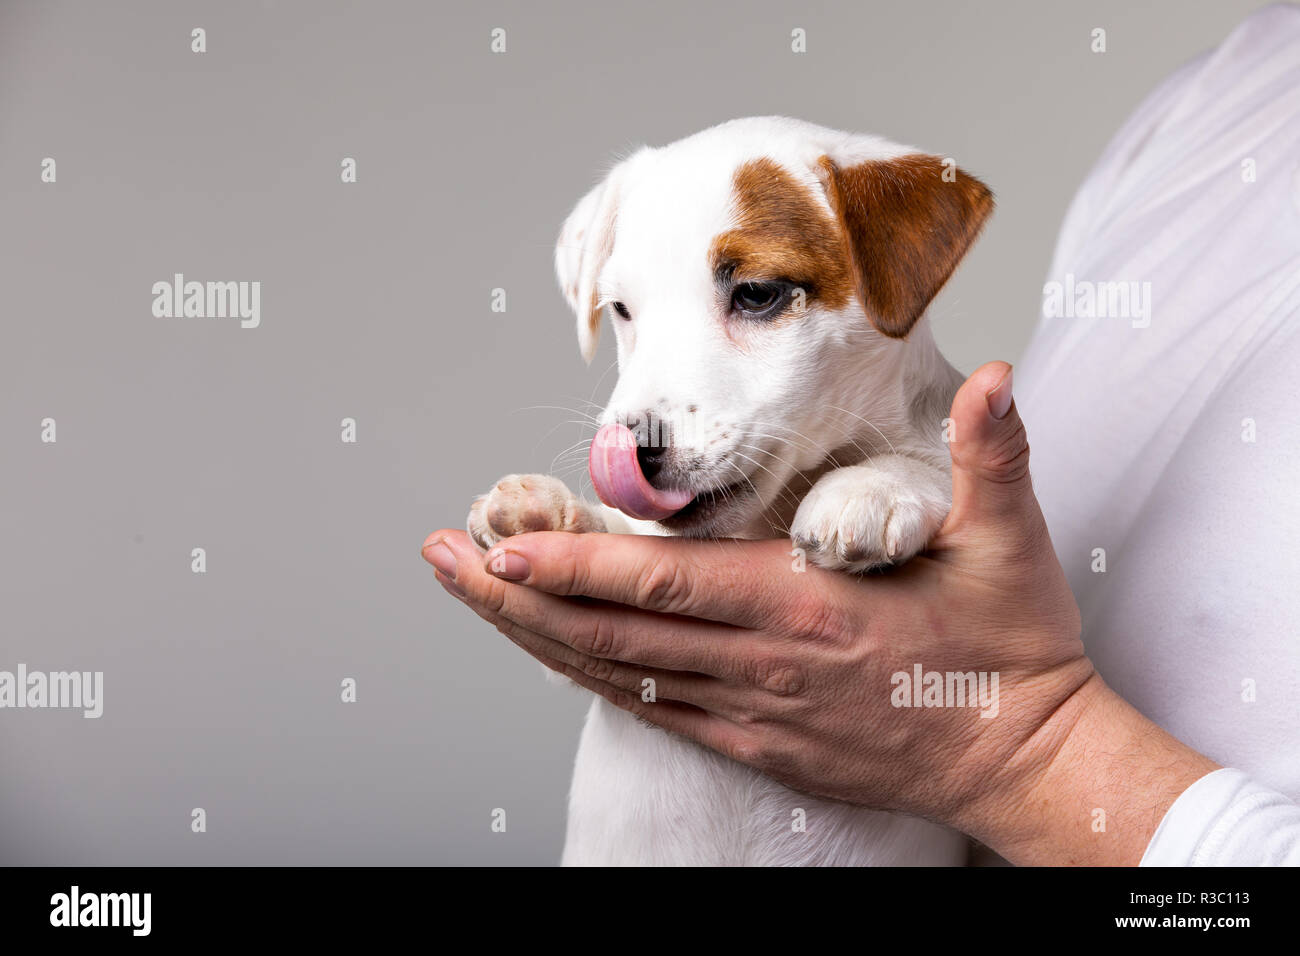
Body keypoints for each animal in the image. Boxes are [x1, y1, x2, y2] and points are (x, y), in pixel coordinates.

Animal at [470, 117, 993, 868]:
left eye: (756, 293)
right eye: (621, 309)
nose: (632, 448)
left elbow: (927, 461)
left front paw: (872, 487)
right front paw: (543, 510)